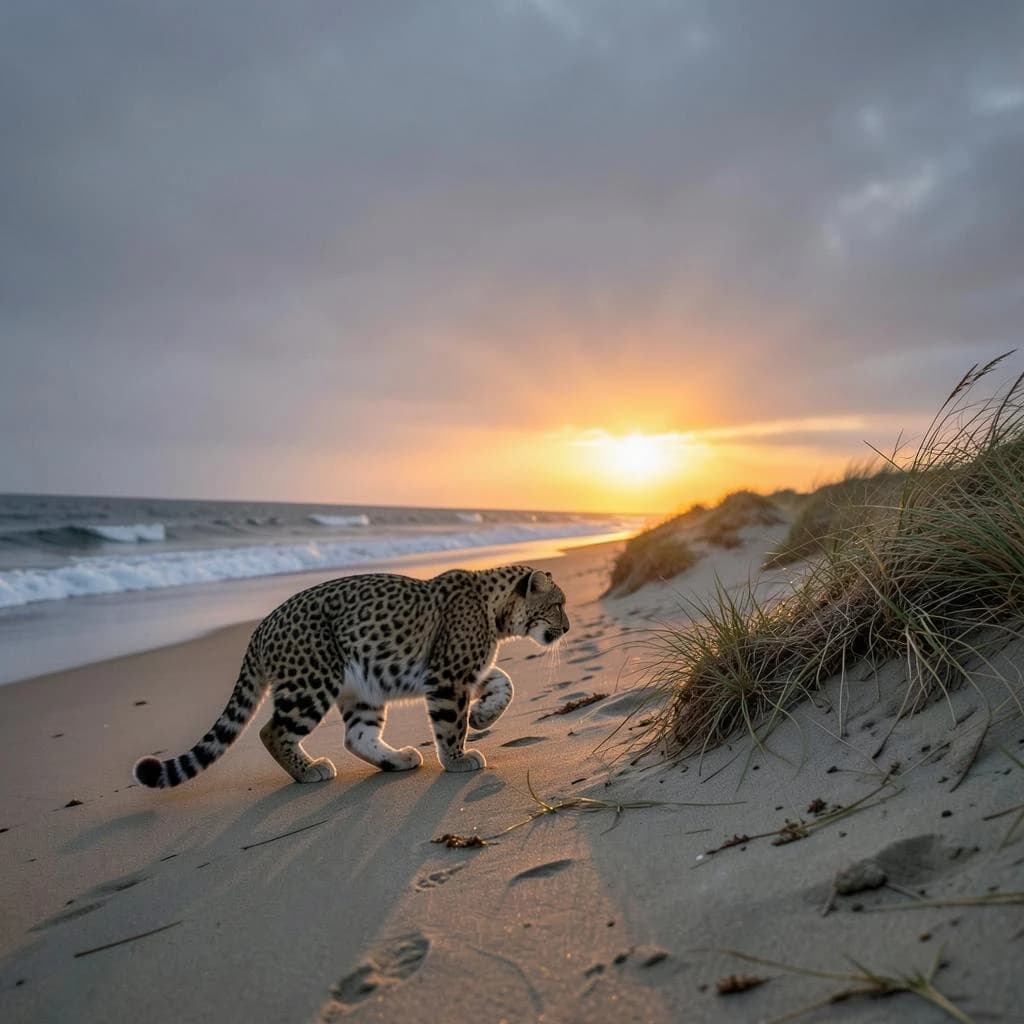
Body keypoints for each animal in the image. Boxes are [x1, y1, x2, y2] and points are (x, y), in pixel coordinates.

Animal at [133, 564, 569, 787]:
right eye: (558, 605)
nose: (567, 627)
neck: (495, 611)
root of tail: (259, 628)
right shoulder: (447, 677)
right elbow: (449, 724)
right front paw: (458, 758)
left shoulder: (462, 672)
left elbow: (505, 683)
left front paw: (482, 716)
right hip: (312, 683)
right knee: (272, 731)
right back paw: (309, 771)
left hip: (362, 689)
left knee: (356, 736)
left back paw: (397, 759)